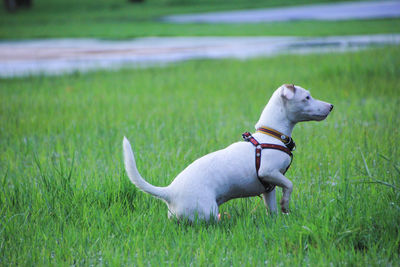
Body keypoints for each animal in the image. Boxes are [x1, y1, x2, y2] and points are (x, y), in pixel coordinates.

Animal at [122, 85, 334, 223]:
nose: (331, 106)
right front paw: (286, 204)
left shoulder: (269, 187)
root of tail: (169, 192)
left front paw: (277, 217)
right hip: (207, 211)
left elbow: (272, 207)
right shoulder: (268, 172)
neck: (271, 135)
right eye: (307, 97)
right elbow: (289, 185)